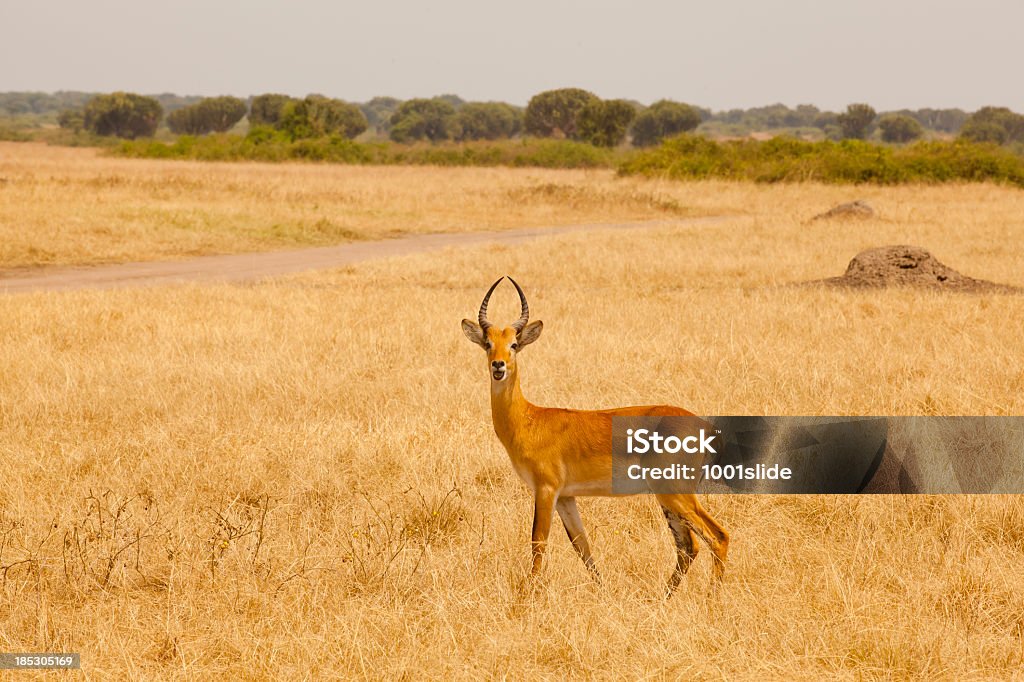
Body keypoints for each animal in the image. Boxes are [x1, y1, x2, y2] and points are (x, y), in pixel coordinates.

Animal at [464, 276, 729, 589]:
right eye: (488, 344)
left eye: (514, 344)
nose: (499, 365)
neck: (530, 419)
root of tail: (705, 426)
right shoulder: (566, 497)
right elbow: (582, 545)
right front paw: (602, 589)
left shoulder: (546, 489)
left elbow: (538, 542)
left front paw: (529, 592)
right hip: (668, 497)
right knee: (688, 546)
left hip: (675, 492)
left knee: (717, 537)